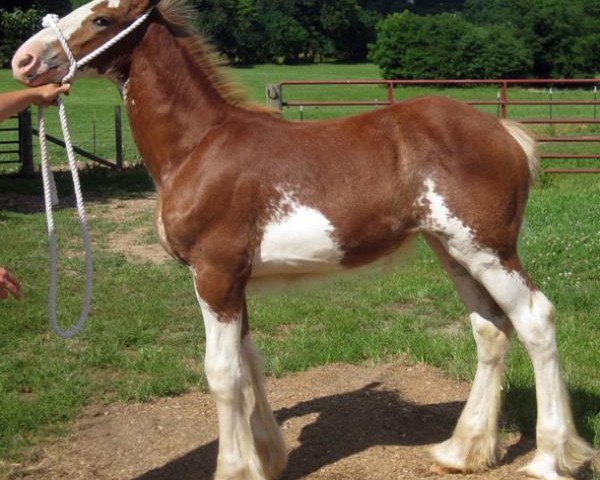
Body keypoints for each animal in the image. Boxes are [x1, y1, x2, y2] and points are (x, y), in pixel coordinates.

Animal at [11, 1, 592, 478]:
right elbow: (249, 363)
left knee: (535, 319)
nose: (23, 60)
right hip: (451, 249)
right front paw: (267, 458)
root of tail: (503, 131)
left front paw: (234, 468)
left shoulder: (214, 275)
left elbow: (222, 373)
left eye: (100, 18)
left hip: (487, 249)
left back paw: (551, 458)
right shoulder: (234, 281)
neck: (198, 147)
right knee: (491, 330)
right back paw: (463, 451)